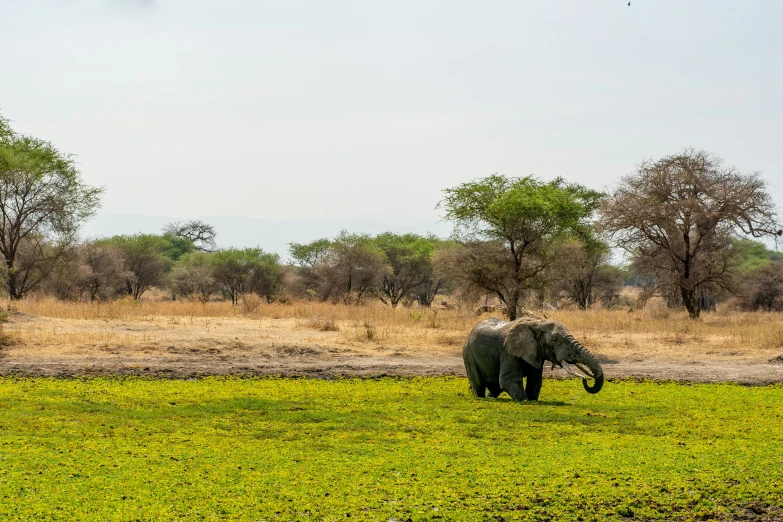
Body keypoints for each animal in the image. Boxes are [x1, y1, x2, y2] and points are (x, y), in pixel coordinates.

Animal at [466, 316, 608, 398]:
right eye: (555, 340)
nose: (585, 379)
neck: (538, 323)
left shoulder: (535, 352)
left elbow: (535, 381)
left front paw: (532, 400)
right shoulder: (508, 352)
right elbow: (508, 380)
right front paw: (525, 400)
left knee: (496, 387)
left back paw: (490, 397)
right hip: (468, 354)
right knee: (479, 383)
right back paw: (480, 397)